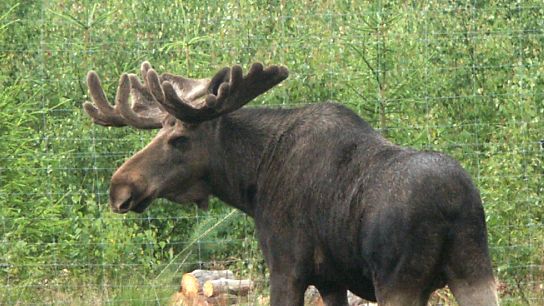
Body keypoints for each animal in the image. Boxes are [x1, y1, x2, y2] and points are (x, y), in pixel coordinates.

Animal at [82, 61, 498, 304]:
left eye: (180, 139)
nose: (119, 188)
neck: (251, 182)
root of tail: (453, 205)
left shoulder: (287, 267)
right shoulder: (331, 279)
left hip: (399, 280)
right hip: (475, 271)